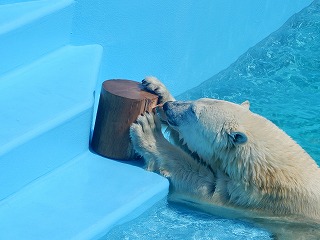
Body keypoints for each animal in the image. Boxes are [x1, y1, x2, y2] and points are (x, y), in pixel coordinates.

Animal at [129, 77, 320, 238]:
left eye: (193, 111)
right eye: (195, 101)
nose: (168, 107)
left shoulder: (252, 200)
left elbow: (206, 185)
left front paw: (149, 132)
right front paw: (157, 88)